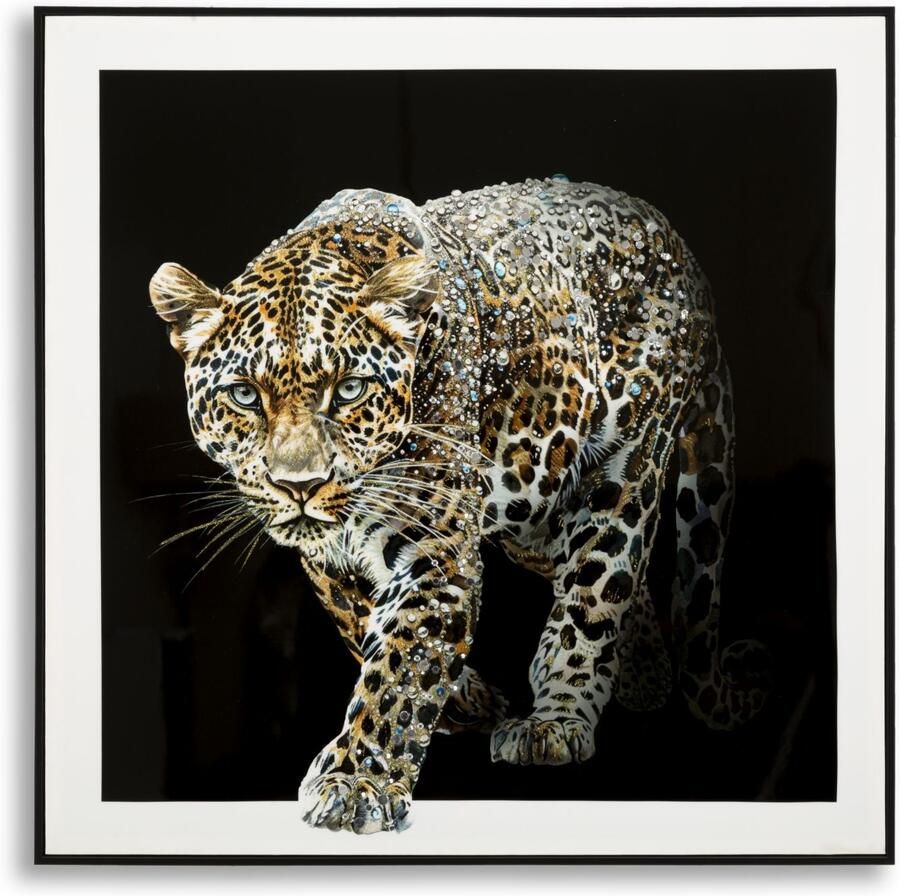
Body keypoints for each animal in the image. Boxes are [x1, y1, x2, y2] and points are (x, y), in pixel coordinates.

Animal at [150, 177, 767, 835]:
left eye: (349, 390)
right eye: (244, 395)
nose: (300, 485)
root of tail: (680, 249)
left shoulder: (438, 547)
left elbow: (399, 662)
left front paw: (355, 782)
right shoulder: (330, 559)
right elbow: (361, 622)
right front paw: (462, 700)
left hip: (624, 466)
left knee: (597, 586)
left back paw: (557, 718)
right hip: (533, 503)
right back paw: (645, 674)